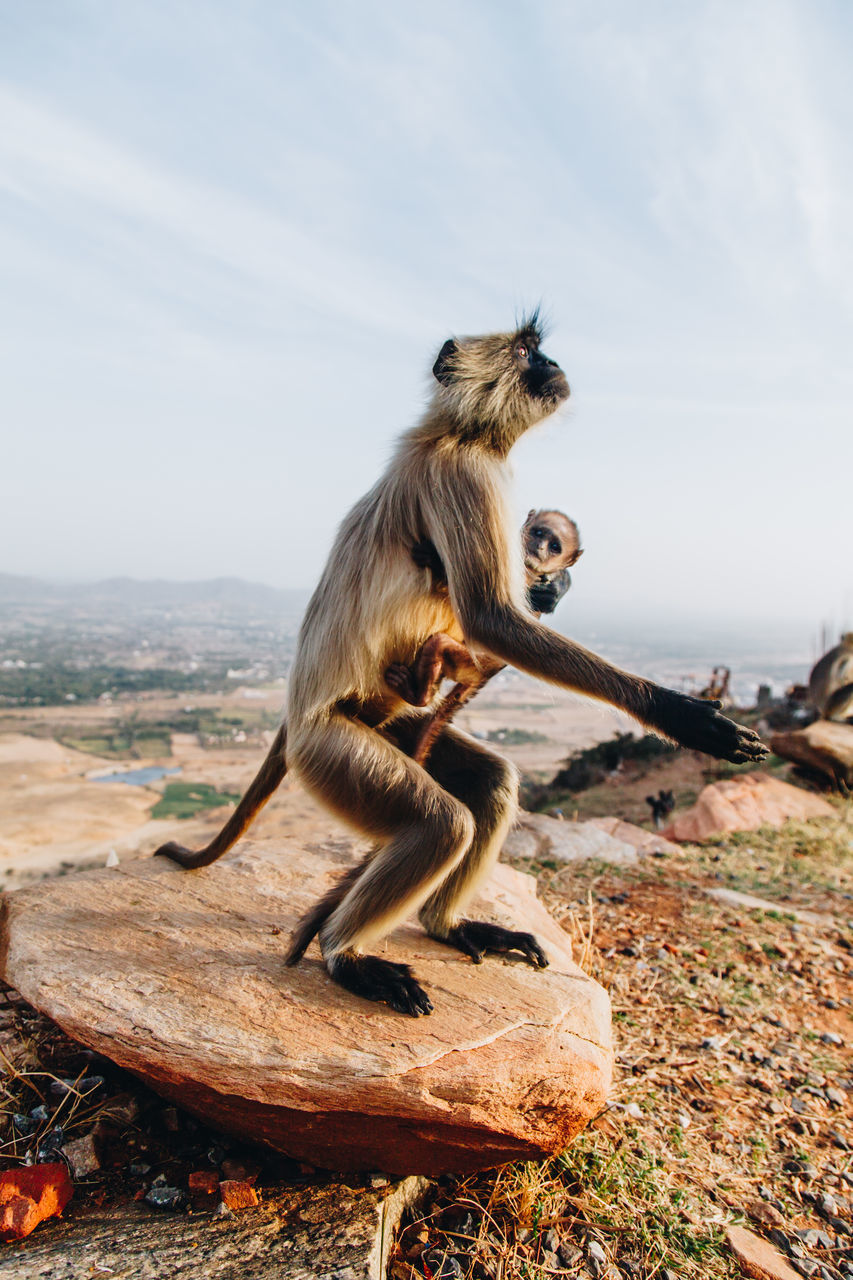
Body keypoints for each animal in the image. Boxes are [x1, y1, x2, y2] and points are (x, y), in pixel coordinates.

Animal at [384, 514, 578, 762]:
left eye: (555, 546)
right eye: (538, 532)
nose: (540, 547)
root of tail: (489, 673)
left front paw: (435, 561)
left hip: (470, 663)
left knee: (439, 643)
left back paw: (420, 696)